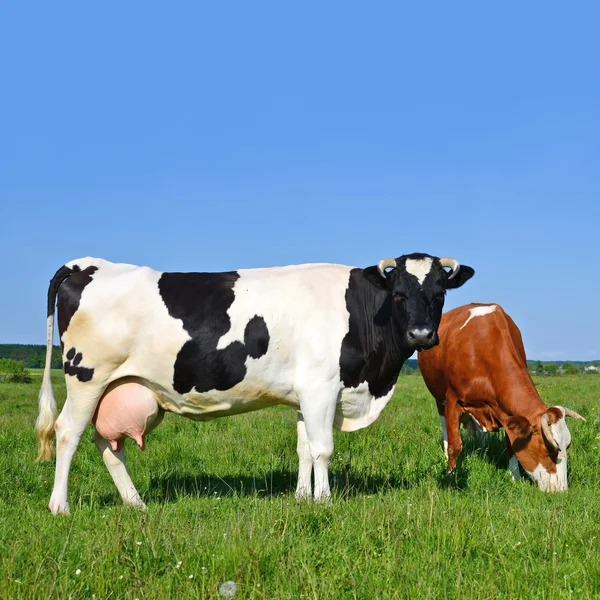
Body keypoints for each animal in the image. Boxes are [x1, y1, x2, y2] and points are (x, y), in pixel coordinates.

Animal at [36, 251, 474, 512]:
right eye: (399, 293)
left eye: (439, 293)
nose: (422, 335)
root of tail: (86, 263)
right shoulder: (321, 387)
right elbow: (323, 450)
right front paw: (324, 501)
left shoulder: (304, 395)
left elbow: (303, 449)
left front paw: (302, 498)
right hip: (86, 376)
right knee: (68, 432)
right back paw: (60, 506)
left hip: (114, 386)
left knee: (106, 442)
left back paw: (135, 503)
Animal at [418, 304, 584, 492]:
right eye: (548, 448)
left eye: (567, 446)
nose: (560, 490)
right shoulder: (453, 400)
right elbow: (455, 445)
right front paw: (450, 477)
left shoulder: (507, 413)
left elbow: (510, 445)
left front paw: (515, 478)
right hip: (439, 399)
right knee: (446, 430)